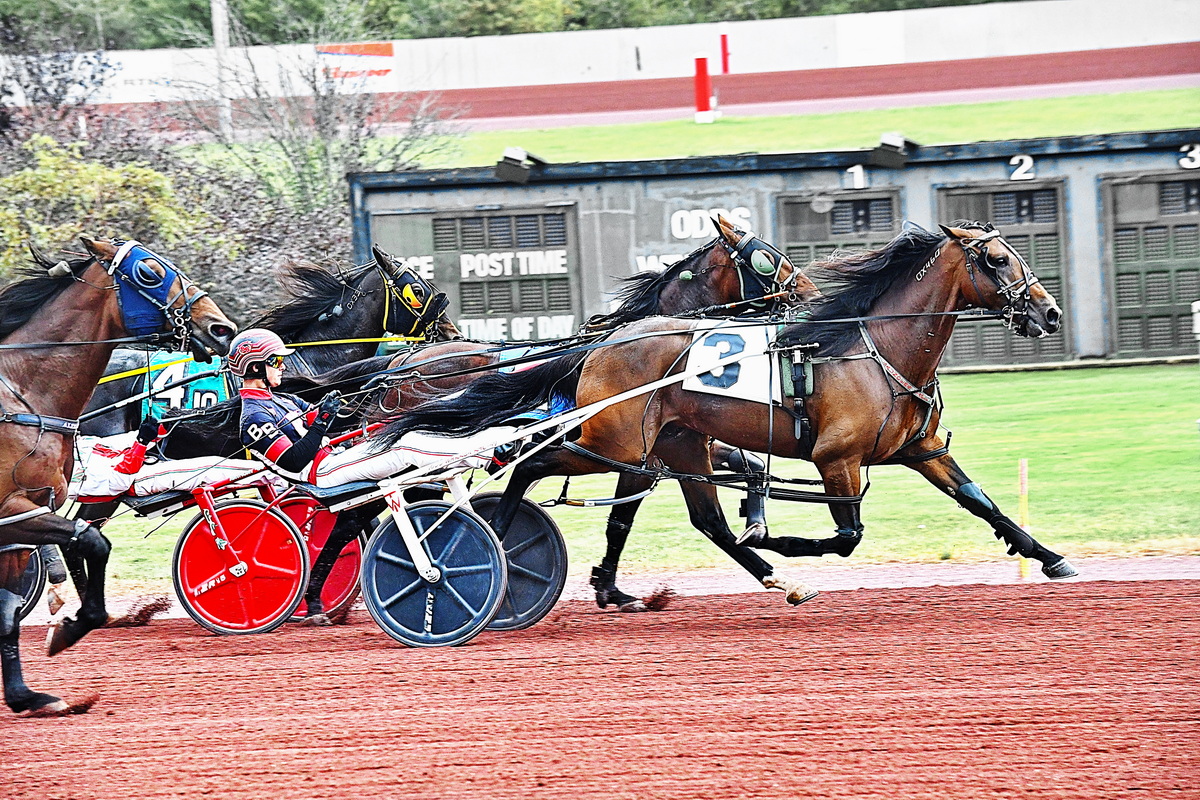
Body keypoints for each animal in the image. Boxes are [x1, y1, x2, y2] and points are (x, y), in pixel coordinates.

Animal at [0, 237, 235, 715]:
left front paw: (25, 695)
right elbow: (92, 541)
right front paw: (72, 625)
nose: (221, 328)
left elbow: (9, 613)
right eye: (149, 272)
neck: (21, 395)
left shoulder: (22, 516)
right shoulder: (13, 508)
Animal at [378, 221, 1077, 607]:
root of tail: (601, 346)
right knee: (527, 465)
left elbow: (984, 504)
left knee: (703, 519)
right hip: (613, 441)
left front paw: (1048, 556)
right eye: (998, 260)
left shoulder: (921, 450)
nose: (1049, 313)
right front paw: (770, 532)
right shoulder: (836, 458)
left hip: (673, 444)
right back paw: (490, 540)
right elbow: (846, 535)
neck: (874, 347)